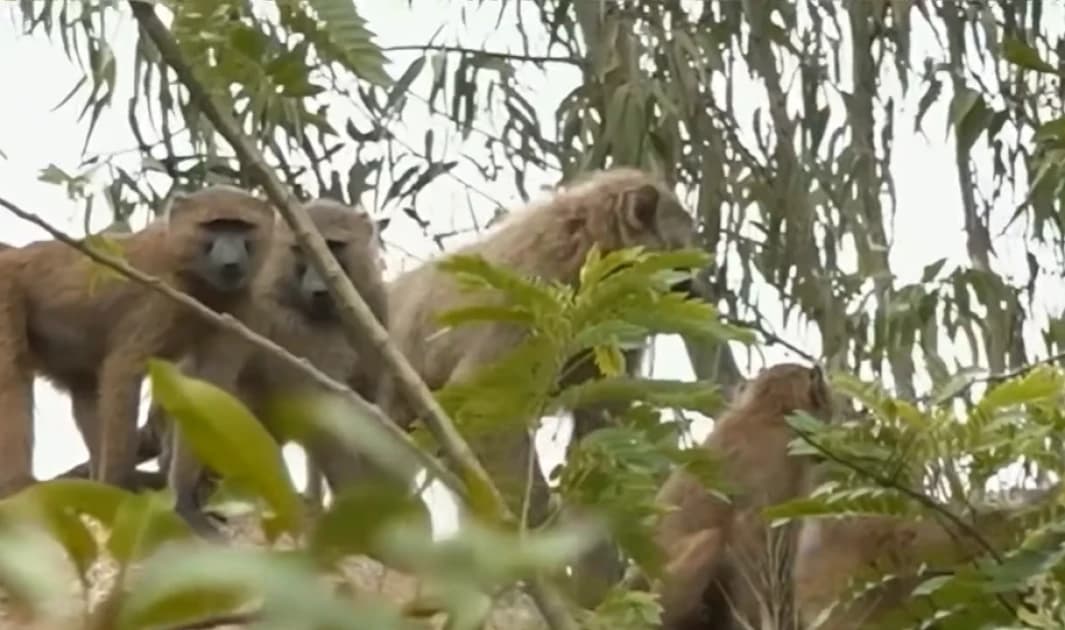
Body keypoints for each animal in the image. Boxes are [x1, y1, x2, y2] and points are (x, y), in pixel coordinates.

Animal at [0, 185, 275, 497]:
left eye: (241, 227)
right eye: (214, 226)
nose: (231, 260)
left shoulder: (239, 308)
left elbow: (207, 389)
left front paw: (183, 497)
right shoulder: (160, 295)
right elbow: (124, 370)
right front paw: (119, 486)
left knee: (85, 389)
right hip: (7, 290)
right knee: (11, 376)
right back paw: (17, 485)